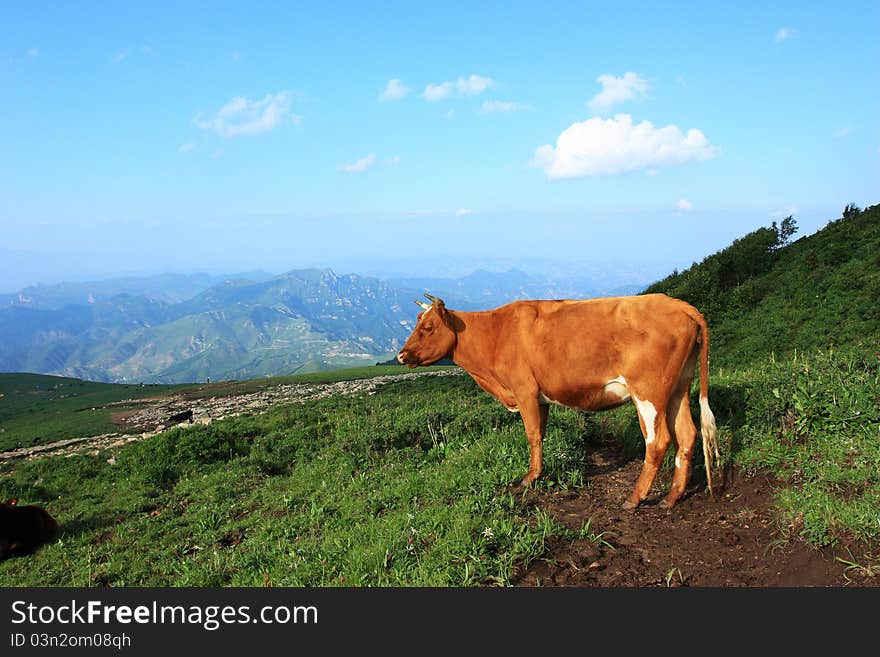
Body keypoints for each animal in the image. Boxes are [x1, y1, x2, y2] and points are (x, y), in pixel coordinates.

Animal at [398, 292, 720, 508]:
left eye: (427, 327)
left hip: (648, 391)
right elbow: (540, 434)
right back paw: (672, 497)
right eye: (416, 324)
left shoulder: (525, 390)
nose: (401, 355)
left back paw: (635, 498)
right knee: (687, 434)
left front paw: (530, 478)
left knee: (658, 440)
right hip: (678, 387)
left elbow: (531, 434)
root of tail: (678, 304)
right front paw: (538, 472)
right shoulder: (540, 398)